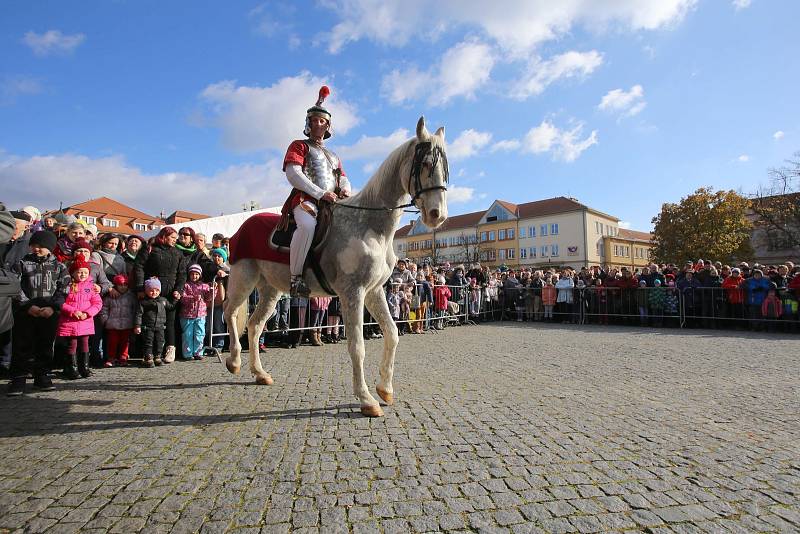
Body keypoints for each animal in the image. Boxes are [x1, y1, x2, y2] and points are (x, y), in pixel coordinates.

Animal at [225, 118, 446, 418]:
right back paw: (234, 362)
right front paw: (366, 399)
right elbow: (357, 346)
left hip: (270, 290)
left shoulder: (374, 292)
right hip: (243, 279)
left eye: (445, 166)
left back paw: (259, 373)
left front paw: (385, 389)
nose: (437, 215)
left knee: (254, 325)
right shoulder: (352, 293)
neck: (370, 226)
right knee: (230, 313)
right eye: (424, 164)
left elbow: (392, 334)